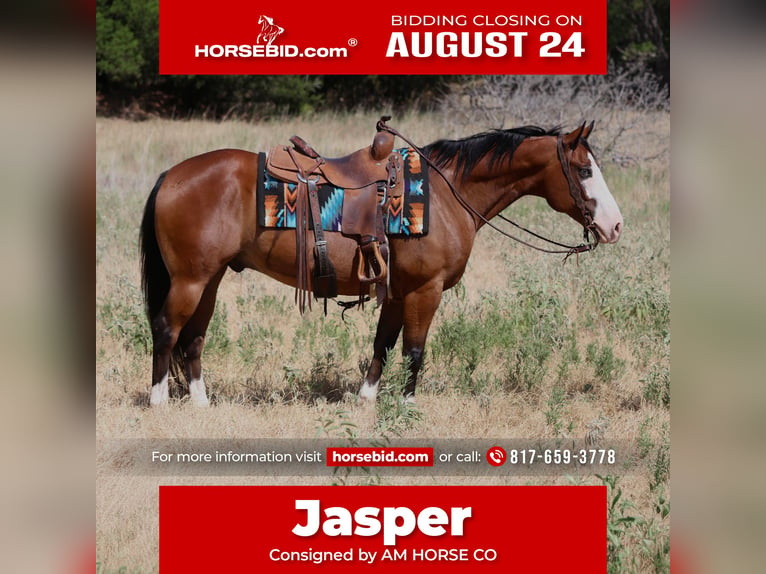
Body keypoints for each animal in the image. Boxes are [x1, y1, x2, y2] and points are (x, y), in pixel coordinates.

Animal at [139, 121, 623, 406]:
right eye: (584, 170)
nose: (615, 225)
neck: (445, 195)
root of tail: (170, 176)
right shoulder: (426, 290)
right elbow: (413, 351)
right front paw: (407, 406)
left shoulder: (398, 291)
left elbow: (383, 346)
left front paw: (367, 400)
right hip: (190, 280)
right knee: (167, 329)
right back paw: (159, 400)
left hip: (210, 279)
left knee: (194, 337)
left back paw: (201, 403)